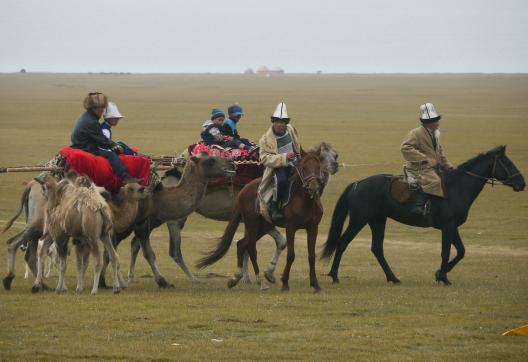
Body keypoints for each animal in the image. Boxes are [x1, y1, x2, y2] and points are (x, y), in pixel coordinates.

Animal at [197, 147, 324, 292]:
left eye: (319, 167)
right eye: (304, 168)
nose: (314, 188)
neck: (304, 201)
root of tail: (244, 190)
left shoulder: (313, 227)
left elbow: (311, 256)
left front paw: (315, 284)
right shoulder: (291, 228)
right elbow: (291, 255)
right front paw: (285, 283)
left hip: (263, 226)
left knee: (242, 244)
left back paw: (236, 278)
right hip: (252, 224)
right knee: (251, 248)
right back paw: (260, 281)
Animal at [322, 146, 524, 284]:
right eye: (507, 163)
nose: (522, 183)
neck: (457, 188)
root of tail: (357, 183)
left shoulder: (452, 227)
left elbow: (461, 251)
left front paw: (440, 273)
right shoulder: (448, 226)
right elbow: (446, 251)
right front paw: (442, 276)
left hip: (377, 220)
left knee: (377, 248)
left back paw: (393, 277)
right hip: (359, 220)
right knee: (342, 243)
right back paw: (334, 276)